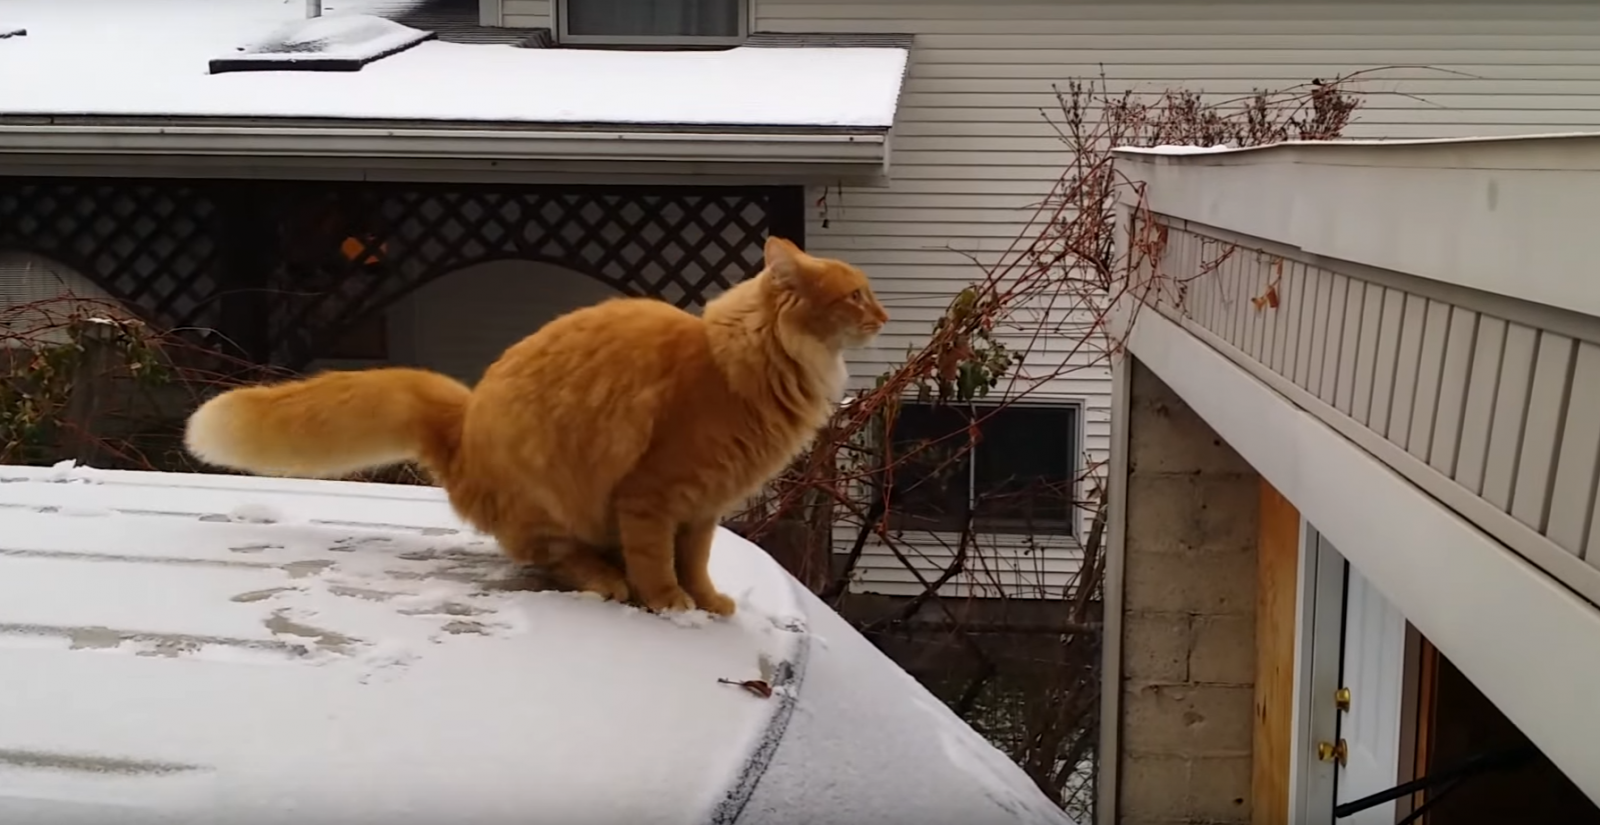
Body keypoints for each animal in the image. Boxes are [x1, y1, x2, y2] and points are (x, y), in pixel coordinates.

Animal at [183, 236, 889, 616]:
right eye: (855, 295)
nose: (882, 316)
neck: (745, 364)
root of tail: (463, 424)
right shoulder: (654, 497)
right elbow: (659, 564)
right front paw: (670, 604)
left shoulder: (703, 508)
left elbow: (697, 561)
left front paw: (708, 600)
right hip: (549, 498)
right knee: (558, 559)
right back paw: (607, 579)